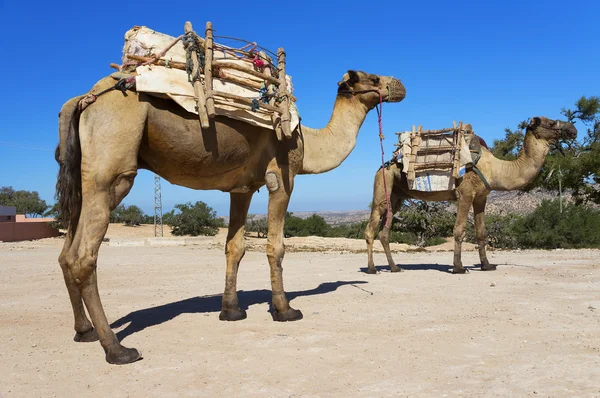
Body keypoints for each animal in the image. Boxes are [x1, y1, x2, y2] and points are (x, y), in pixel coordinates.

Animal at [56, 69, 406, 364]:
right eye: (373, 78)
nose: (400, 85)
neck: (307, 140)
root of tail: (84, 98)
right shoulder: (282, 176)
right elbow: (276, 247)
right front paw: (285, 310)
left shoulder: (242, 188)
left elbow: (234, 248)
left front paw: (231, 311)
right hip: (112, 165)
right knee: (83, 255)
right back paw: (117, 349)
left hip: (82, 178)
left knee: (66, 252)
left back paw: (84, 331)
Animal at [364, 116, 580, 276]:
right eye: (550, 123)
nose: (573, 129)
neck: (495, 169)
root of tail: (386, 164)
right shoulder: (465, 194)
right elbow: (459, 230)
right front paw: (459, 268)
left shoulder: (481, 197)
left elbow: (481, 232)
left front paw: (487, 265)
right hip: (382, 187)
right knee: (371, 228)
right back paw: (372, 269)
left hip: (396, 197)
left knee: (384, 231)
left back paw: (394, 268)